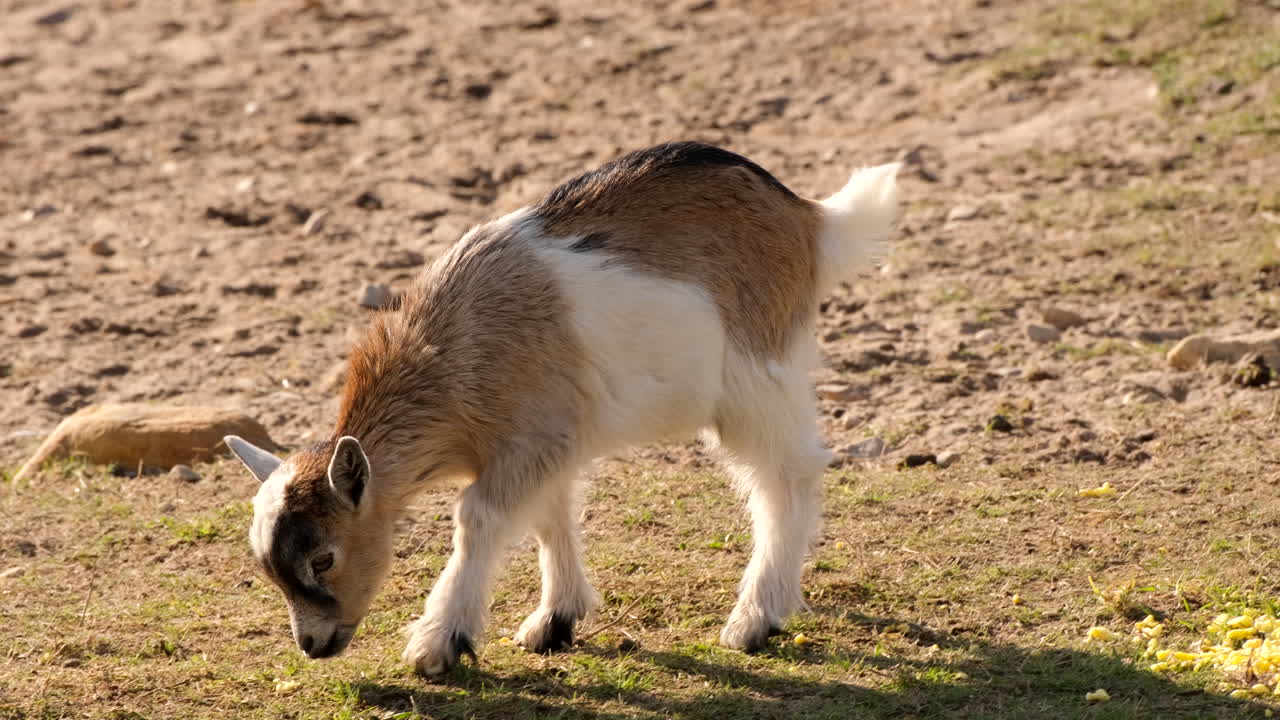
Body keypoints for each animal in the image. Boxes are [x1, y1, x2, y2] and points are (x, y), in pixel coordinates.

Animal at [225, 141, 900, 675]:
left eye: (323, 557)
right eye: (269, 569)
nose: (312, 644)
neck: (454, 349)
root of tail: (808, 220)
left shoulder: (528, 439)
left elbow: (478, 519)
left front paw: (437, 643)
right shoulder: (548, 442)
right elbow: (549, 514)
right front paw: (555, 620)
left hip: (757, 378)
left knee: (785, 476)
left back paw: (755, 618)